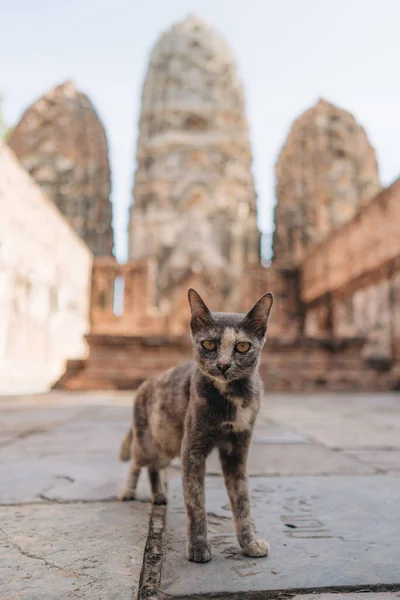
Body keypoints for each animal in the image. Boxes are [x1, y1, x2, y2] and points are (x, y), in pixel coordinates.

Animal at [119, 288, 274, 564]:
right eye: (209, 344)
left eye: (242, 346)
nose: (223, 365)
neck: (234, 397)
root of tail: (145, 384)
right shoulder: (192, 448)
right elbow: (195, 501)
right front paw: (199, 547)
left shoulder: (238, 450)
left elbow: (242, 499)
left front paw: (249, 543)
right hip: (150, 442)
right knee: (137, 462)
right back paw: (128, 491)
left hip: (167, 445)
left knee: (154, 469)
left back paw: (159, 496)